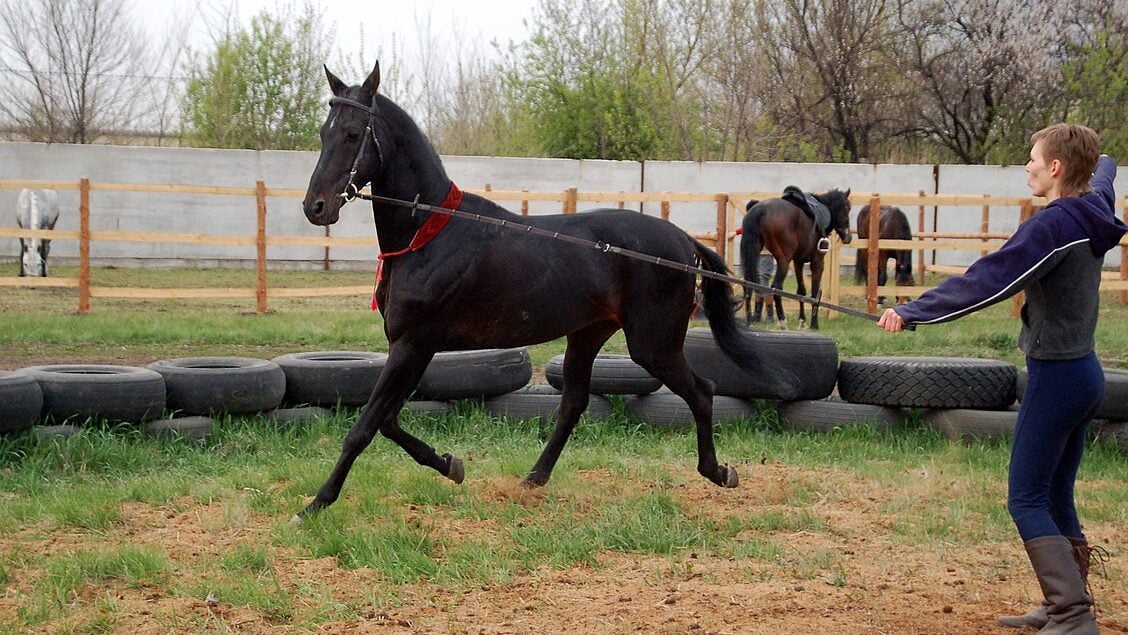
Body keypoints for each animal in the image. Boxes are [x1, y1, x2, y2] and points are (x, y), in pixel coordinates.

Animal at [297, 62, 796, 520]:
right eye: (324, 132)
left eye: (353, 133)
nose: (315, 207)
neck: (429, 233)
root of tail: (681, 241)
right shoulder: (416, 349)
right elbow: (388, 421)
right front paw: (450, 464)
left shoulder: (412, 345)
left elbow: (365, 426)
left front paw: (316, 503)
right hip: (589, 335)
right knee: (574, 404)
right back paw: (534, 478)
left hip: (653, 345)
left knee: (703, 390)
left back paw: (718, 472)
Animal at [739, 189, 852, 330]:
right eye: (847, 208)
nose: (848, 237)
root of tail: (759, 211)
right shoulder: (818, 262)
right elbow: (814, 293)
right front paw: (814, 324)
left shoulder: (798, 262)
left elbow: (801, 291)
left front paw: (802, 321)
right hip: (784, 260)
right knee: (776, 286)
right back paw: (782, 321)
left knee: (748, 284)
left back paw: (749, 320)